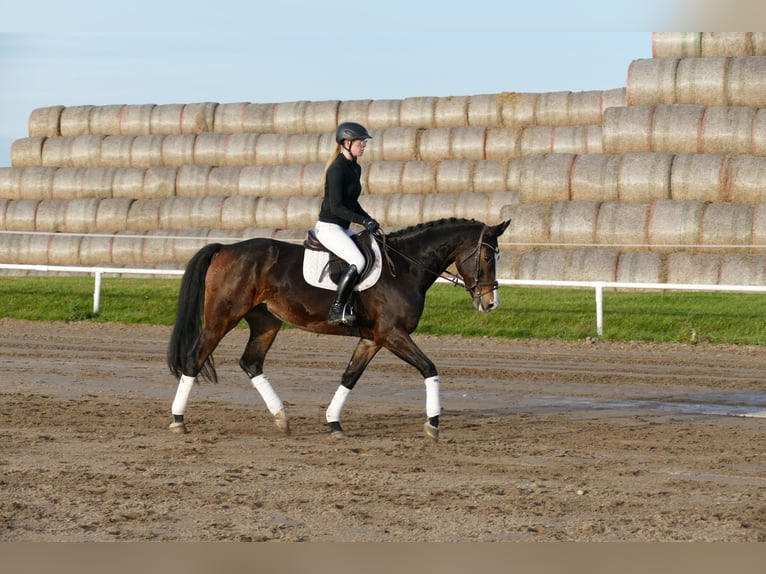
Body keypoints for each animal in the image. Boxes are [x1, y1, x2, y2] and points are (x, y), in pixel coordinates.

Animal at [166, 217, 511, 441]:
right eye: (485, 255)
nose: (490, 303)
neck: (405, 268)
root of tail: (225, 249)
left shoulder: (372, 339)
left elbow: (349, 376)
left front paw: (334, 423)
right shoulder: (393, 334)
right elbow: (429, 368)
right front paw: (434, 423)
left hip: (266, 322)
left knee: (251, 362)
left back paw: (282, 419)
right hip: (222, 318)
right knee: (195, 358)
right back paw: (178, 420)